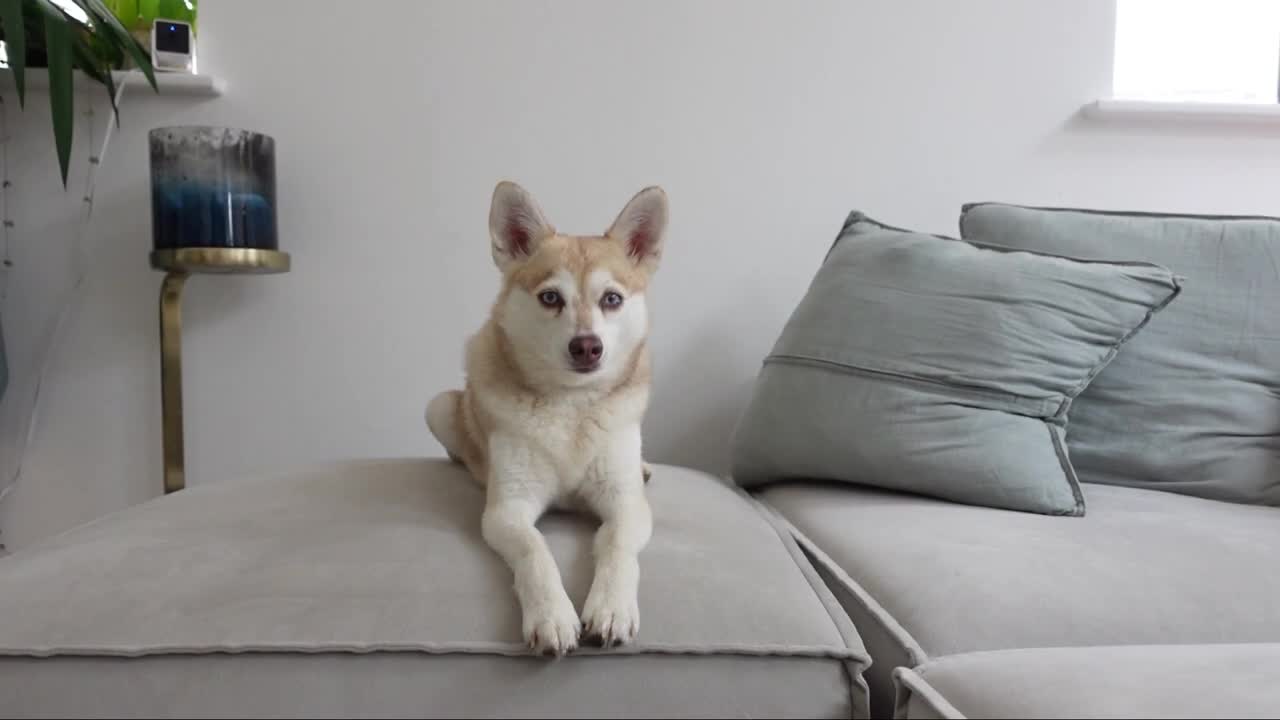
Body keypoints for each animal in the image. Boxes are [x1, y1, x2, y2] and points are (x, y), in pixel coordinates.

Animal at [430, 180, 670, 655]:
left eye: (612, 299)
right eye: (550, 298)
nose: (587, 346)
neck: (572, 405)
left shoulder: (626, 504)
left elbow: (617, 547)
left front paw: (612, 607)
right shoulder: (508, 511)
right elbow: (534, 551)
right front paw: (552, 616)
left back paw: (645, 465)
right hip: (440, 407)